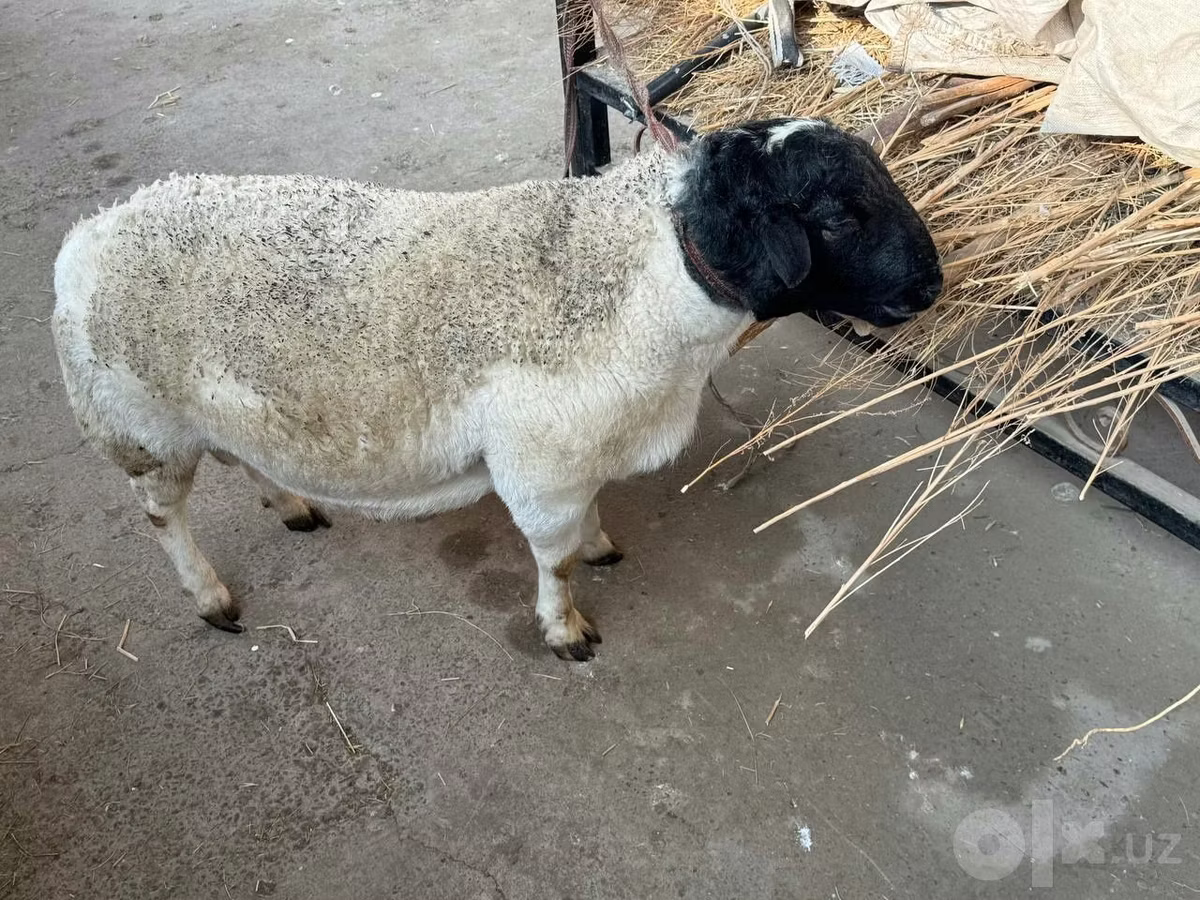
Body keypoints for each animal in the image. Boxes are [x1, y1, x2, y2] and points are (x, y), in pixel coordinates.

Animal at [51, 117, 942, 661]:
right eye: (838, 217)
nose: (932, 286)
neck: (644, 271)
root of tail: (87, 238)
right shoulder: (541, 467)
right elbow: (554, 559)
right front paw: (566, 628)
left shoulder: (581, 452)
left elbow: (590, 520)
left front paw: (601, 543)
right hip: (139, 430)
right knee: (164, 518)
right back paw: (210, 597)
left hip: (212, 415)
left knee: (244, 459)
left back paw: (292, 504)